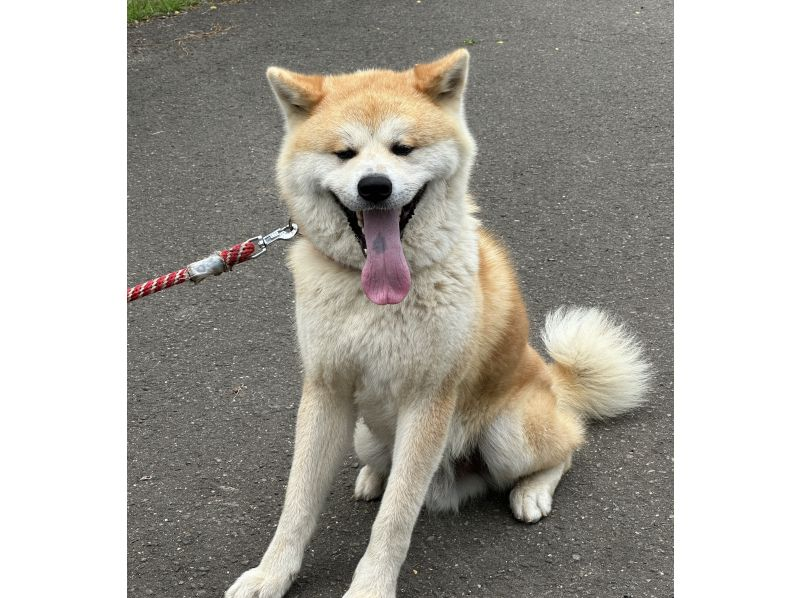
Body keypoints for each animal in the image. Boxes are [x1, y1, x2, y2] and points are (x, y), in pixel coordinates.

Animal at [222, 48, 648, 598]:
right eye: (344, 154)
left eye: (403, 149)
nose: (374, 186)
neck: (376, 301)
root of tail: (554, 383)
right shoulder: (325, 389)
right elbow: (297, 502)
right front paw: (271, 574)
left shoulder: (429, 399)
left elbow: (395, 519)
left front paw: (370, 588)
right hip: (364, 432)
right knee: (383, 459)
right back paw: (372, 475)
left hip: (508, 433)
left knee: (567, 448)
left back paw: (532, 491)